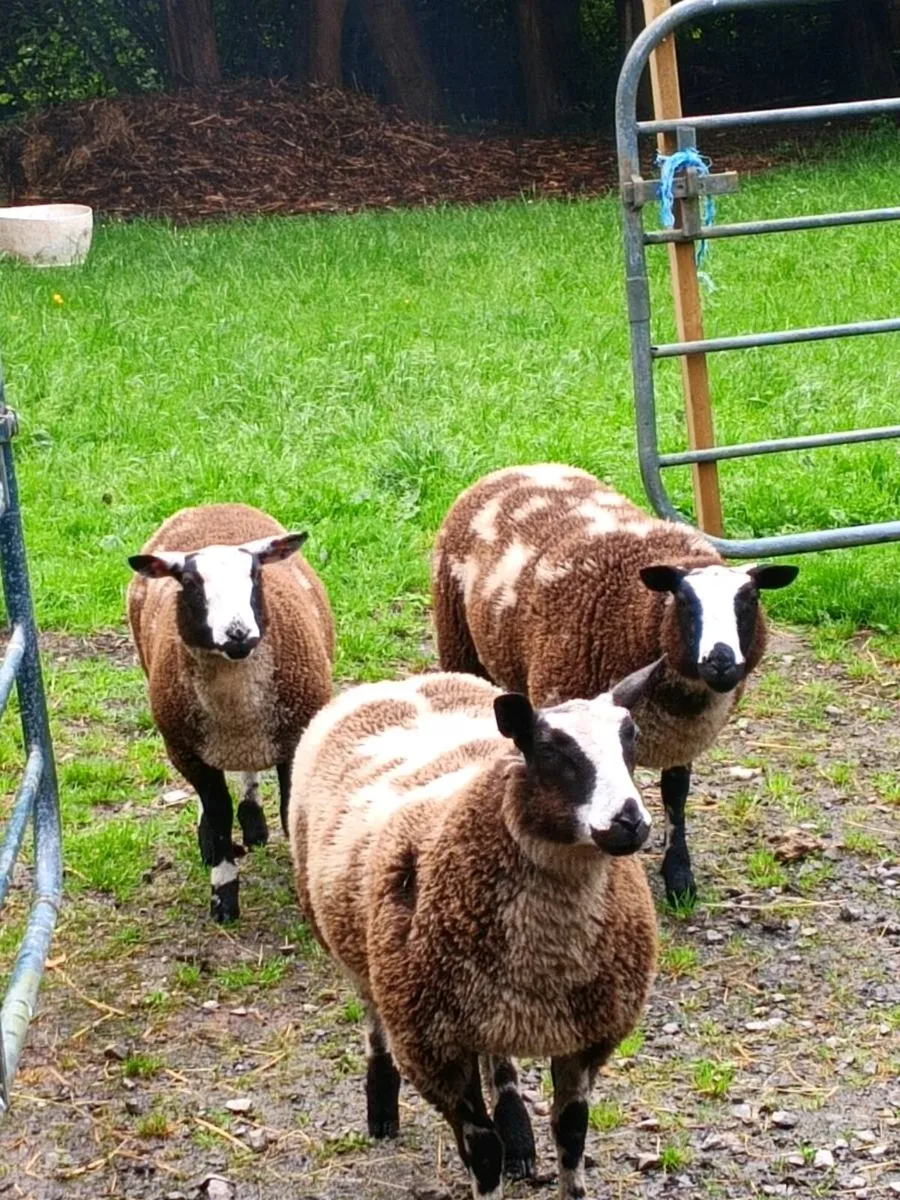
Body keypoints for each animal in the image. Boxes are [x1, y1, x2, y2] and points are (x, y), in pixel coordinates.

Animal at [127, 502, 334, 923]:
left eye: (255, 575)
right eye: (190, 582)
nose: (238, 633)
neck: (237, 710)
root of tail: (209, 506)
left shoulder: (295, 740)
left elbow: (289, 809)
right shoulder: (186, 752)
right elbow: (219, 812)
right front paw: (223, 894)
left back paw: (253, 820)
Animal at [289, 660, 662, 1200]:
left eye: (631, 739)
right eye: (548, 750)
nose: (630, 821)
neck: (549, 956)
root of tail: (403, 681)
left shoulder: (587, 1037)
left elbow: (571, 1133)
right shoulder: (433, 1046)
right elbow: (482, 1151)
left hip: (482, 1000)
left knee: (498, 1058)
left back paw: (517, 1131)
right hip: (363, 954)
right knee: (374, 1018)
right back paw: (381, 1108)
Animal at [431, 463, 798, 905]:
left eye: (749, 601)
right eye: (684, 601)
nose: (721, 661)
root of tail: (518, 467)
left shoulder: (682, 739)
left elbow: (676, 795)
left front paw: (679, 876)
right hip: (457, 640)